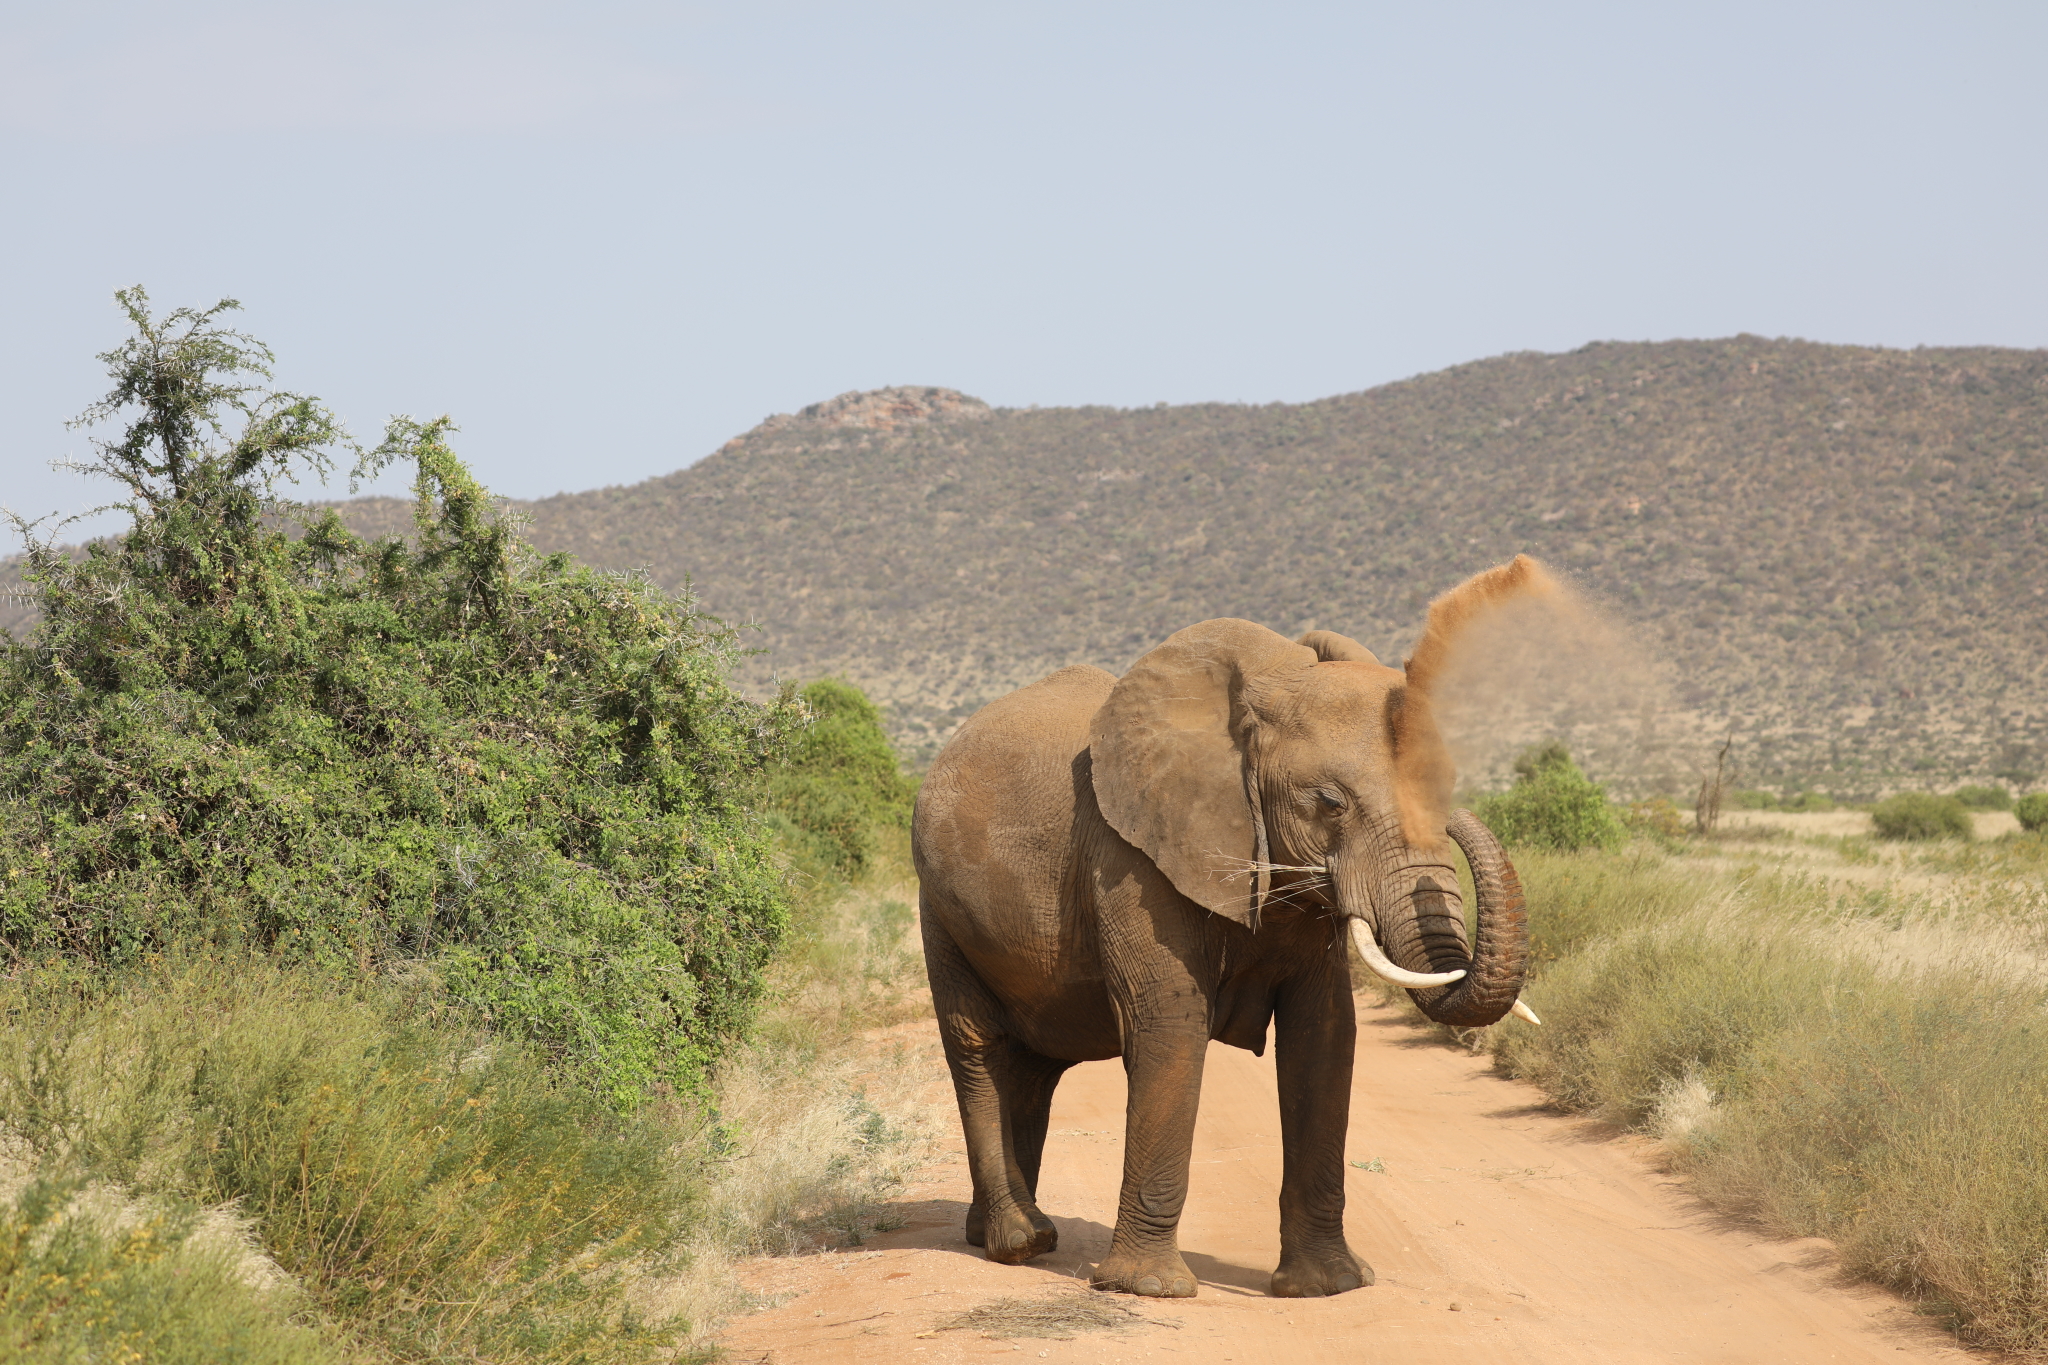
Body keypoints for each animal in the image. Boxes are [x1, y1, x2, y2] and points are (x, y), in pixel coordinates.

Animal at [905, 556, 1540, 1301]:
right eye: (1330, 803)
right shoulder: (1131, 856)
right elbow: (1171, 1021)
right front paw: (1149, 1289)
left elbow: (1325, 1034)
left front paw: (1327, 1286)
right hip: (938, 909)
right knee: (978, 1047)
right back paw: (1019, 1242)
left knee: (1032, 1068)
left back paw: (1008, 1234)